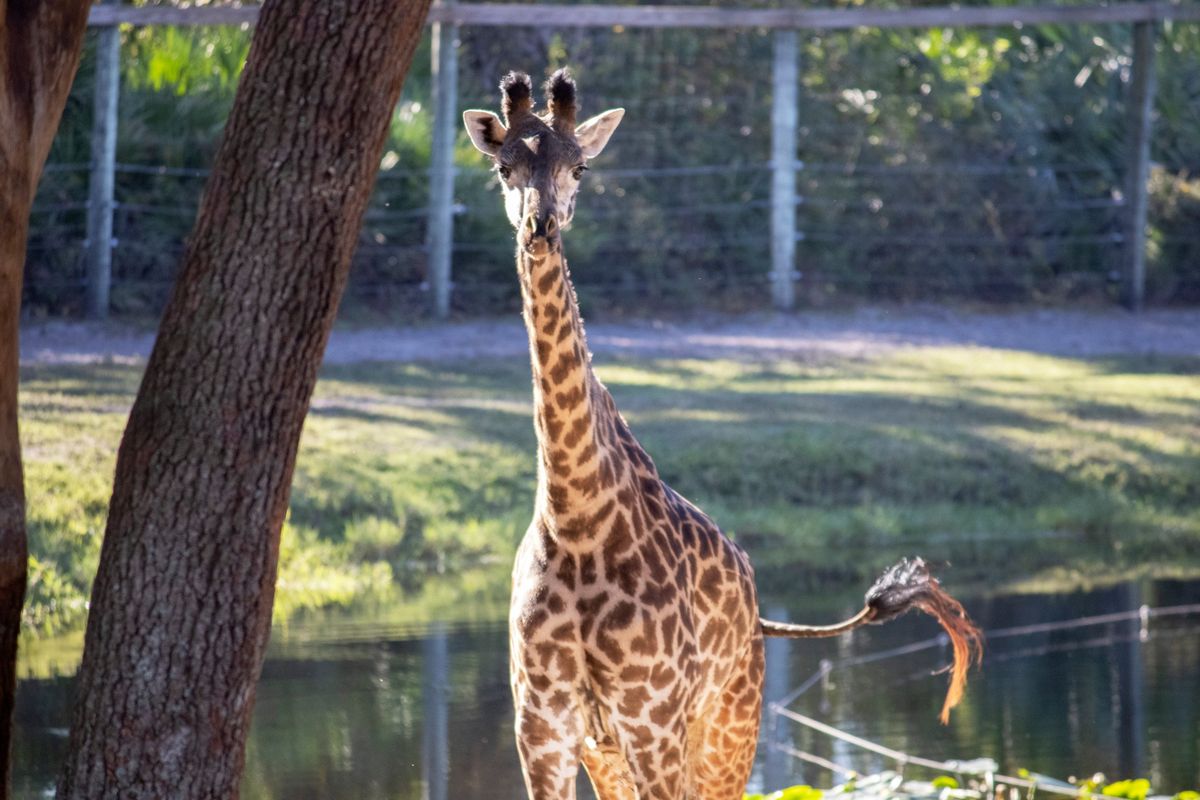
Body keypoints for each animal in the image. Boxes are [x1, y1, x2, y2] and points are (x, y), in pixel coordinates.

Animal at [463, 70, 979, 800]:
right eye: (503, 168)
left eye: (580, 166)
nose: (541, 226)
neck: (577, 516)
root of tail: (758, 609)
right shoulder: (544, 730)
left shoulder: (654, 724)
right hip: (616, 753)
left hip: (726, 731)